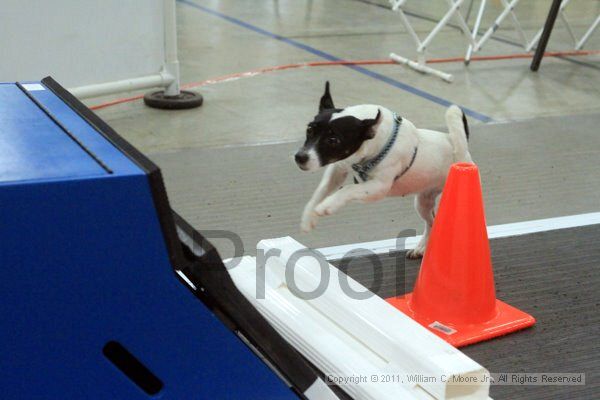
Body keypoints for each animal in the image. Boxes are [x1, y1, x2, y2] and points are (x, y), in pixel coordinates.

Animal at [296, 82, 474, 258]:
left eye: (333, 140)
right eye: (309, 130)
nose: (300, 157)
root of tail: (457, 144)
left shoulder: (378, 188)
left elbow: (348, 189)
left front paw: (328, 205)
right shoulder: (338, 169)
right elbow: (321, 190)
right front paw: (308, 217)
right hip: (423, 202)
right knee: (431, 222)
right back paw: (422, 247)